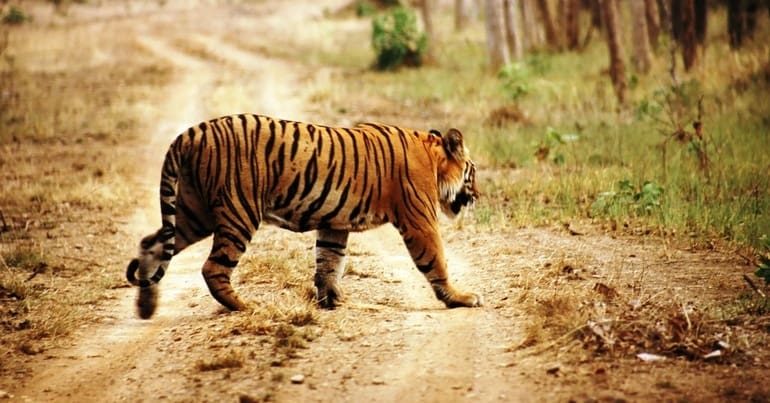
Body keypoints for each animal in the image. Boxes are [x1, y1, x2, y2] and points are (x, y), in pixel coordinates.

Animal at [126, 113, 480, 318]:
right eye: (472, 173)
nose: (477, 196)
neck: (432, 156)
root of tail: (191, 132)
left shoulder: (334, 224)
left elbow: (329, 262)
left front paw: (332, 300)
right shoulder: (419, 220)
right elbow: (436, 259)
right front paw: (459, 297)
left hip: (194, 212)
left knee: (152, 243)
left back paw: (146, 306)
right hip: (239, 211)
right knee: (212, 267)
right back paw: (245, 307)